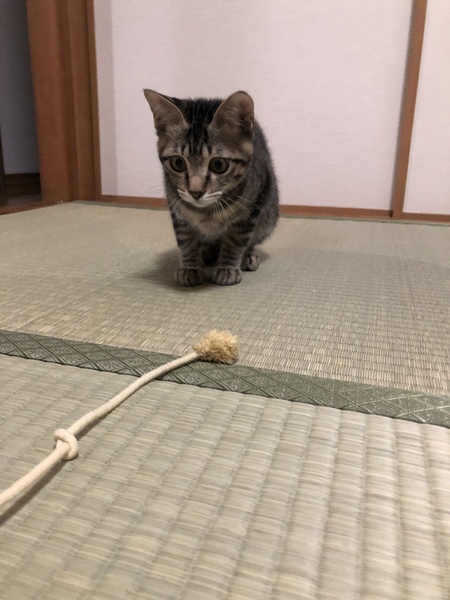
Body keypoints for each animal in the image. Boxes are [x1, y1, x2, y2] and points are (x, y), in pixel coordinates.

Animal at [144, 89, 279, 286]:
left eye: (218, 165)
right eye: (178, 163)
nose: (195, 192)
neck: (206, 211)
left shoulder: (251, 209)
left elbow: (236, 240)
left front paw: (227, 267)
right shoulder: (178, 210)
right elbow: (186, 238)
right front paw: (191, 266)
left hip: (269, 215)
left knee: (252, 239)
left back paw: (247, 256)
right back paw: (206, 253)